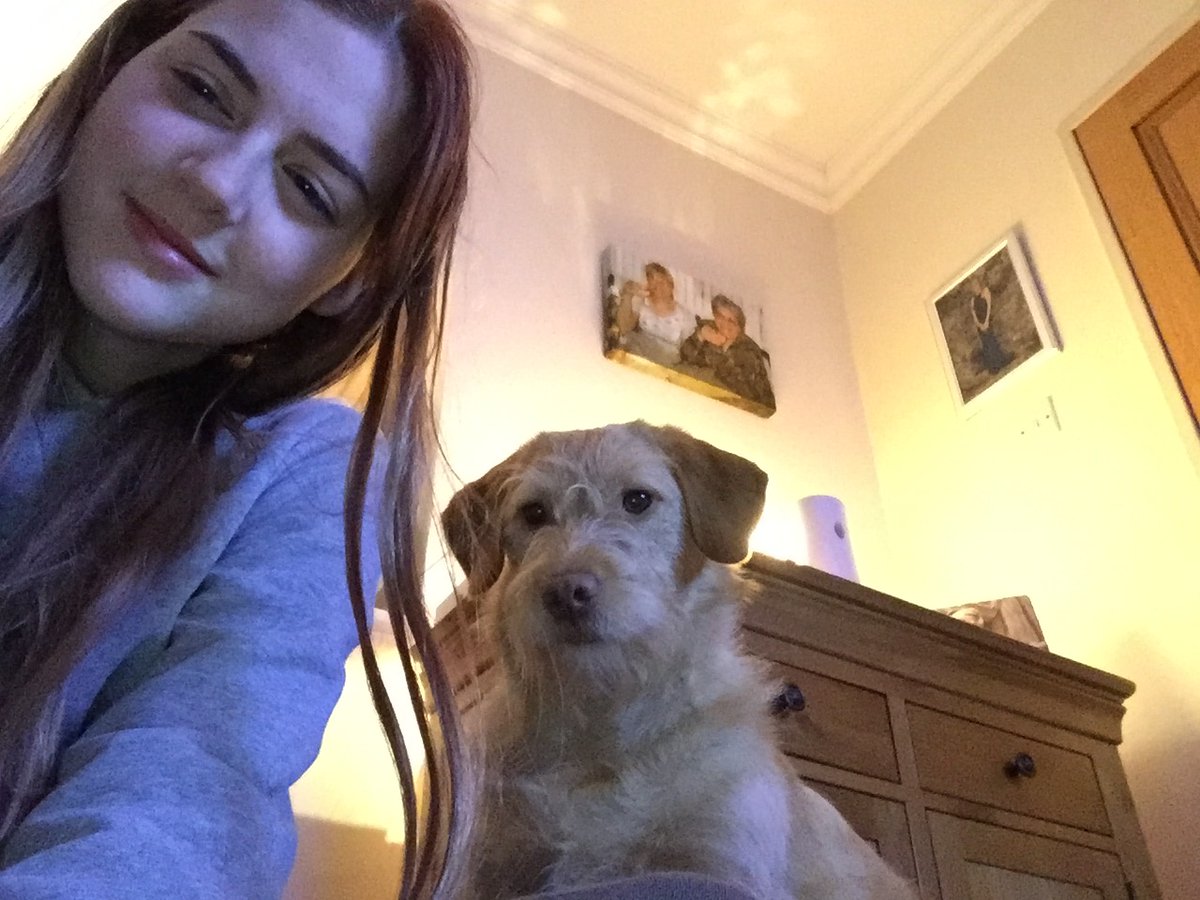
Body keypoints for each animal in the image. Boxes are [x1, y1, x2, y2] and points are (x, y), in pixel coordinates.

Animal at [442, 422, 915, 900]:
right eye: (534, 512)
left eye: (638, 499)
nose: (565, 592)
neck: (599, 738)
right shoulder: (496, 871)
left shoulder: (718, 864)